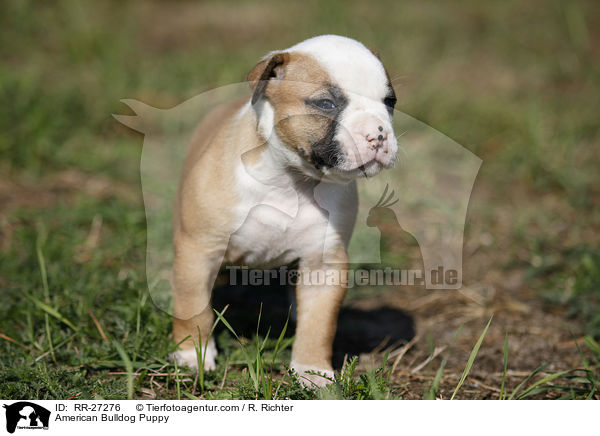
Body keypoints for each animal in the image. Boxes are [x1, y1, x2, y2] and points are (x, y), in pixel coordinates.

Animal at [170, 35, 398, 386]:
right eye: (326, 104)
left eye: (390, 102)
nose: (378, 133)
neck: (290, 181)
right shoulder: (198, 249)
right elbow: (193, 306)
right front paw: (192, 356)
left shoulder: (323, 264)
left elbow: (319, 324)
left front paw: (313, 372)